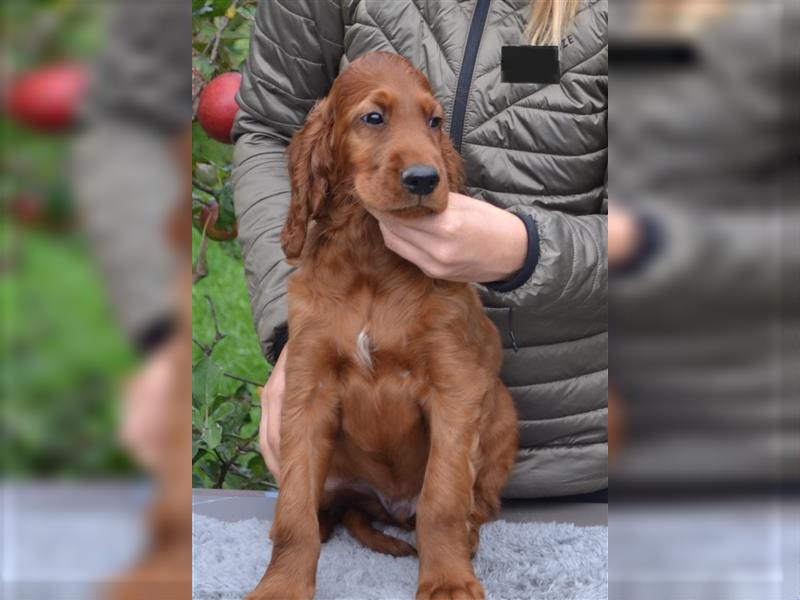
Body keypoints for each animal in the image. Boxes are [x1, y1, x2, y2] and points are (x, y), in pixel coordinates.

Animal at [250, 52, 520, 600]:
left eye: (434, 121)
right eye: (374, 118)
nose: (424, 179)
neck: (371, 255)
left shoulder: (455, 387)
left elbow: (442, 499)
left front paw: (448, 581)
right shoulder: (306, 392)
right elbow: (293, 510)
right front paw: (282, 584)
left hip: (501, 411)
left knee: (476, 504)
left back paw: (468, 538)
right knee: (328, 506)